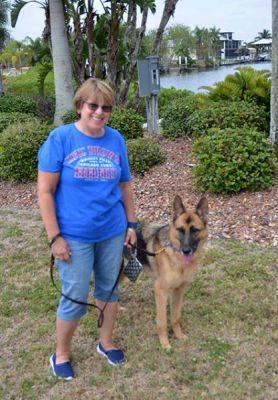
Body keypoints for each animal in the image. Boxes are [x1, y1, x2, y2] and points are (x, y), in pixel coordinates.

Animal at [134, 195, 207, 348]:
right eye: (180, 230)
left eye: (195, 230)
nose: (186, 250)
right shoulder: (161, 292)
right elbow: (162, 322)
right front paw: (165, 344)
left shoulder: (179, 291)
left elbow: (176, 317)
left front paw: (178, 335)